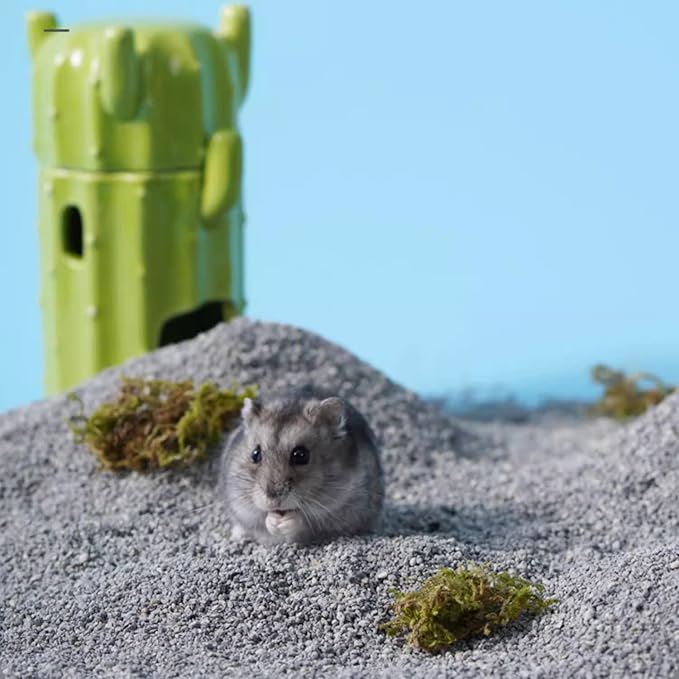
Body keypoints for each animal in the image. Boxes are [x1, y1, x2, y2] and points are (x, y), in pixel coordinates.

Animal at [218, 386, 384, 545]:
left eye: (300, 455)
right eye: (255, 454)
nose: (272, 499)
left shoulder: (340, 510)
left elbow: (305, 522)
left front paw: (286, 522)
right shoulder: (242, 506)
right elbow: (262, 519)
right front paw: (274, 521)